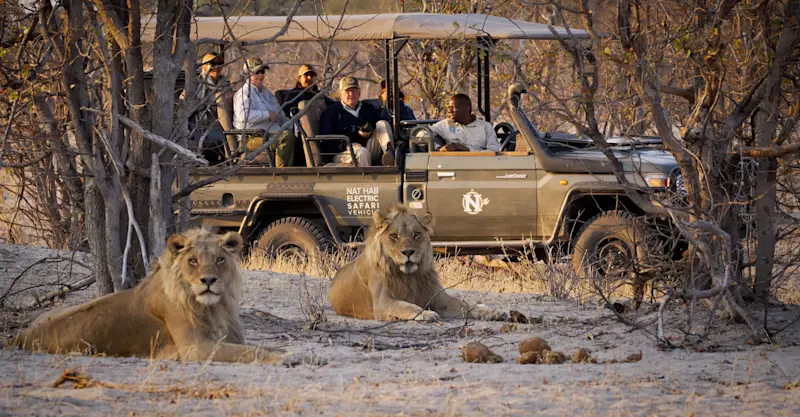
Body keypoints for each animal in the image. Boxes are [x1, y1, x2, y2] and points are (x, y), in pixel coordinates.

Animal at [7, 229, 324, 366]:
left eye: (220, 259)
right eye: (193, 261)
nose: (209, 281)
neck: (214, 308)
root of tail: (19, 336)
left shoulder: (228, 338)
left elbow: (264, 347)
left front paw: (306, 355)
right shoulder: (196, 349)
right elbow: (251, 353)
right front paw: (288, 358)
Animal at [328, 204, 507, 322]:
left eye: (416, 234)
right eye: (394, 236)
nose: (408, 252)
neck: (410, 277)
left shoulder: (439, 298)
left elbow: (465, 305)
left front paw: (494, 313)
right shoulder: (382, 304)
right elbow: (405, 306)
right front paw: (426, 313)